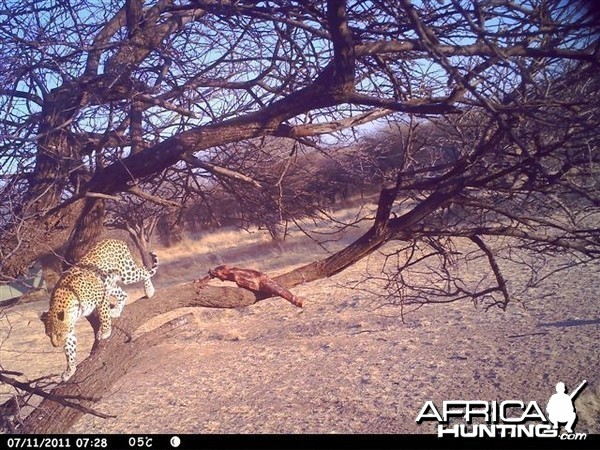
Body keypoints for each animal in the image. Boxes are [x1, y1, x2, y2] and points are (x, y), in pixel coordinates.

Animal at [41, 239, 159, 380]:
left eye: (58, 334)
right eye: (49, 335)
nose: (55, 345)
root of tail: (115, 239)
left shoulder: (101, 297)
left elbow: (104, 315)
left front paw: (105, 332)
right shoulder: (70, 330)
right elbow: (70, 350)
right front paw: (70, 370)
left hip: (126, 273)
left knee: (144, 270)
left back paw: (149, 291)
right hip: (109, 284)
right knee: (123, 294)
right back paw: (116, 310)